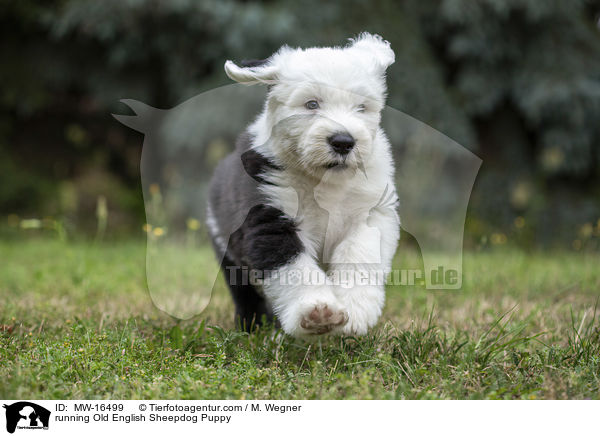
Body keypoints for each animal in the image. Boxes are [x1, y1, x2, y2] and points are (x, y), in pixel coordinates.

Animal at [209, 33, 400, 338]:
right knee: (245, 293)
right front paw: (317, 311)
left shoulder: (371, 214)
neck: (324, 182)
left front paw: (355, 311)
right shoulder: (270, 217)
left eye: (361, 107)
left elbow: (358, 253)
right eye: (312, 104)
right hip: (226, 247)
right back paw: (253, 328)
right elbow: (294, 267)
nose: (343, 142)